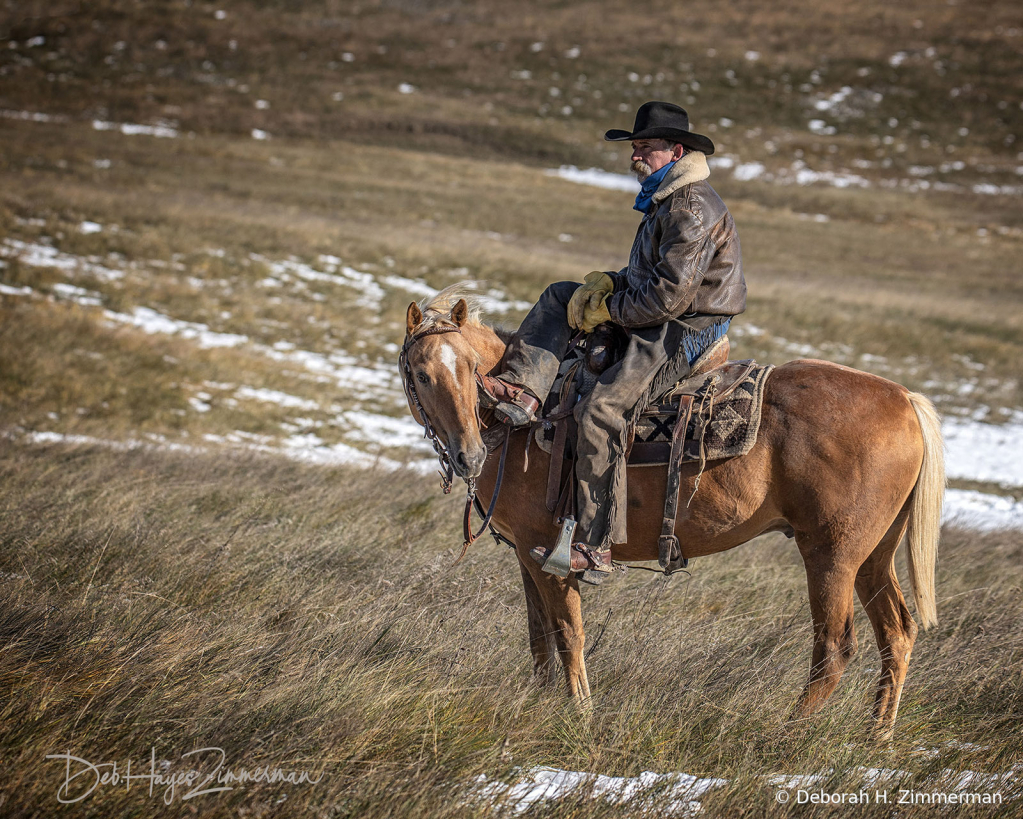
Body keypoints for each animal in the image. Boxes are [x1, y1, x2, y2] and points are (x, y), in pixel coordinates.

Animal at [403, 288, 945, 736]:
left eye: (470, 370)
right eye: (423, 375)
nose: (468, 455)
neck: (528, 419)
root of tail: (904, 399)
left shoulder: (550, 556)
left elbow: (569, 635)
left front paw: (580, 713)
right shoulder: (526, 555)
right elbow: (540, 637)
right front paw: (540, 701)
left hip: (831, 556)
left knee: (833, 647)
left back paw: (782, 735)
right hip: (873, 557)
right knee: (896, 633)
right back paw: (876, 736)